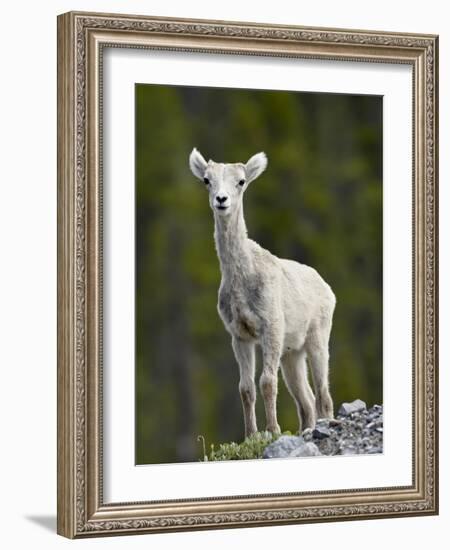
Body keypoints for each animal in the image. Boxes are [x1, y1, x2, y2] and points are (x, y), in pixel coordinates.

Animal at [188, 148, 336, 440]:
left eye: (241, 181)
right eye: (207, 180)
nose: (221, 200)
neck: (243, 279)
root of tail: (327, 289)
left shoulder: (272, 328)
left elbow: (266, 382)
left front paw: (273, 430)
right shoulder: (240, 336)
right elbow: (245, 388)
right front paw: (251, 435)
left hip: (317, 339)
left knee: (323, 395)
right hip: (292, 354)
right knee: (306, 400)